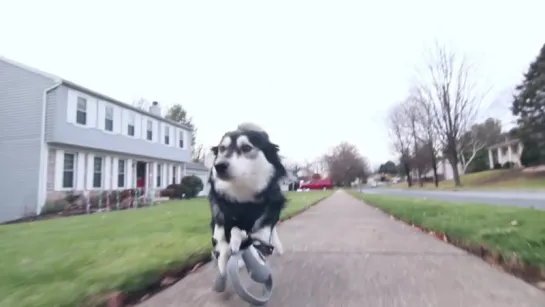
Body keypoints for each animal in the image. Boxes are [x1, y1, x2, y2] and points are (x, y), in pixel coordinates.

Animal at [206, 123, 286, 280]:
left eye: (246, 148)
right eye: (222, 149)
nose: (219, 166)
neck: (243, 201)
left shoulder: (262, 230)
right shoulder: (222, 223)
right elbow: (224, 246)